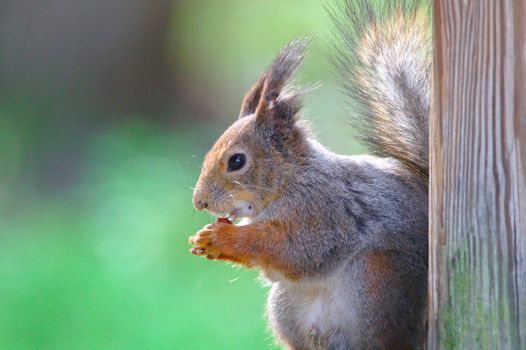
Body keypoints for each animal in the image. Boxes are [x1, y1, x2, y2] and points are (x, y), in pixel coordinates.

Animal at [189, 1, 428, 348]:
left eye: (236, 161)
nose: (200, 202)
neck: (290, 180)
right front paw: (206, 240)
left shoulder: (324, 212)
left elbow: (296, 249)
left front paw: (221, 238)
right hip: (285, 307)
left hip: (378, 281)